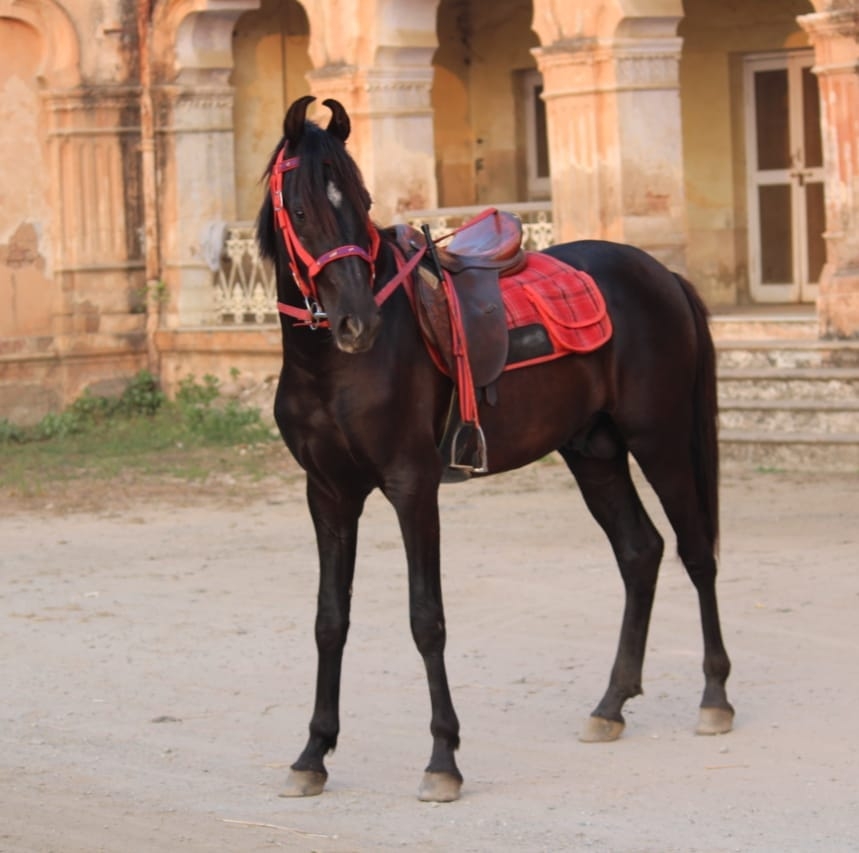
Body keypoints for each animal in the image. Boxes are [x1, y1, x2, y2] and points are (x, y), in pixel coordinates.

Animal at [256, 95, 734, 803]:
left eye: (361, 200)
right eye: (303, 206)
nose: (356, 322)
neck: (335, 369)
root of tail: (662, 273)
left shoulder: (412, 485)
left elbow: (426, 618)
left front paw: (443, 759)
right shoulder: (329, 494)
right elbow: (329, 620)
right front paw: (313, 753)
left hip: (663, 439)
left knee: (696, 551)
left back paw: (714, 696)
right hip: (594, 451)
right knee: (640, 552)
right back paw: (610, 705)